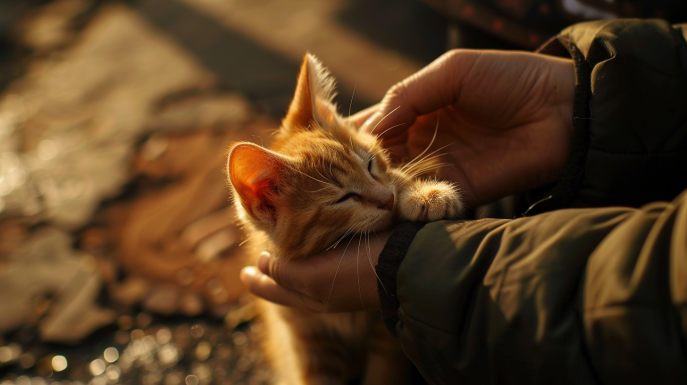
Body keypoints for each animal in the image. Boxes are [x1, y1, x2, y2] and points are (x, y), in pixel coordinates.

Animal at [227, 54, 462, 384]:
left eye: (371, 164)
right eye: (343, 198)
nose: (387, 200)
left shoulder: (385, 332)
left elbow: (383, 373)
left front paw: (424, 194)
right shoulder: (307, 341)